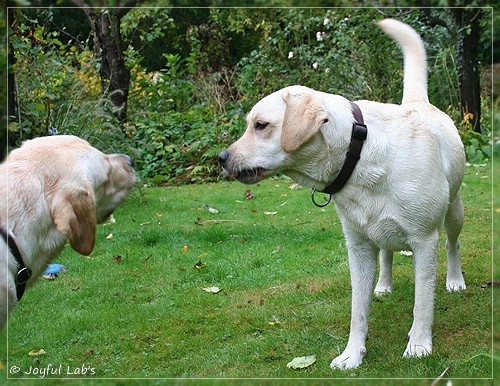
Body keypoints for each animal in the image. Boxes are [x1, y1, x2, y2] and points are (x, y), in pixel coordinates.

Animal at [219, 19, 464, 370]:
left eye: (261, 125)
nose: (221, 158)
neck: (358, 153)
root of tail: (416, 103)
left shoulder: (424, 240)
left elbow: (423, 302)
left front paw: (418, 345)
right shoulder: (358, 247)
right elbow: (357, 310)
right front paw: (352, 353)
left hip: (454, 212)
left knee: (452, 243)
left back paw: (455, 280)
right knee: (387, 253)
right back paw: (384, 285)